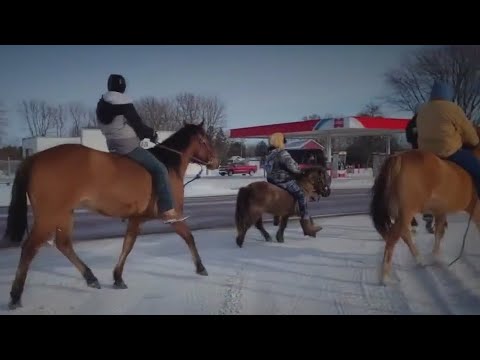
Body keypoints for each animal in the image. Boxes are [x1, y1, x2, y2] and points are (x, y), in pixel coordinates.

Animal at [1, 120, 218, 310]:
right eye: (205, 139)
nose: (216, 162)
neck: (167, 165)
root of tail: (33, 158)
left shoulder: (136, 219)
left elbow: (127, 245)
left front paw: (118, 278)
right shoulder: (171, 216)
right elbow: (188, 237)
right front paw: (201, 267)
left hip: (64, 214)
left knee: (64, 244)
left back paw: (91, 278)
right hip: (49, 216)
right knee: (29, 248)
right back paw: (15, 296)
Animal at [372, 125, 480, 286]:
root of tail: (398, 158)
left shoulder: (440, 211)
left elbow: (439, 232)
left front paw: (436, 257)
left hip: (401, 213)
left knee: (404, 234)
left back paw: (420, 260)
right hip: (406, 212)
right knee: (393, 238)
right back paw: (384, 277)